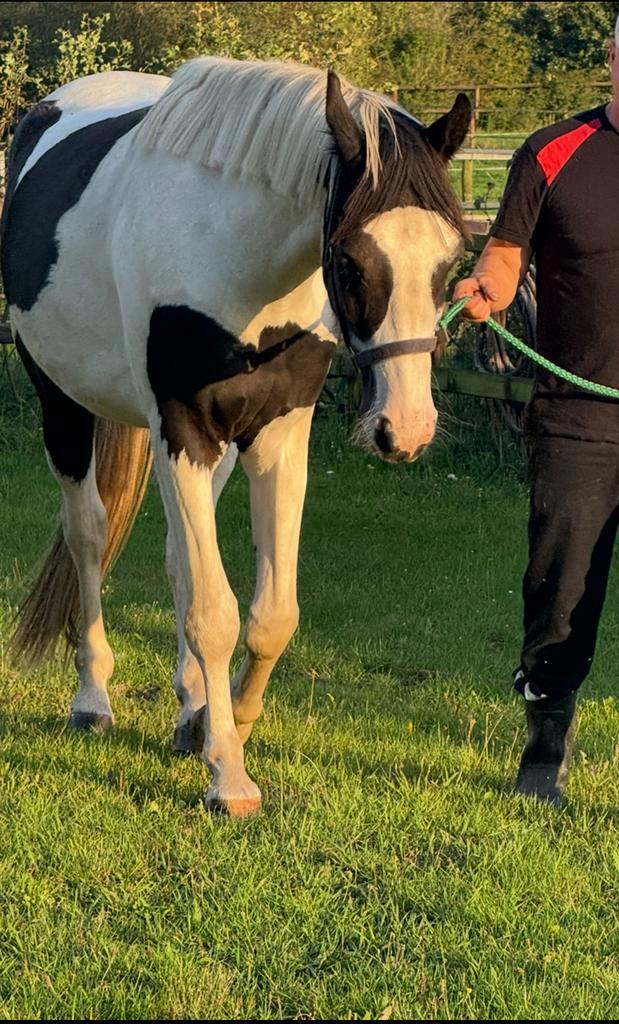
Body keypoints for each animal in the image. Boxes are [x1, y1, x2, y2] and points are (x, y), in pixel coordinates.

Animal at [1, 57, 470, 816]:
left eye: (452, 259)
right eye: (346, 260)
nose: (404, 430)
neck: (233, 256)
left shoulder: (277, 433)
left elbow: (269, 612)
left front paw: (222, 723)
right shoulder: (181, 427)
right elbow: (216, 612)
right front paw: (229, 773)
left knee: (175, 559)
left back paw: (189, 703)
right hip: (64, 404)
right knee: (89, 535)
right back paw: (93, 696)